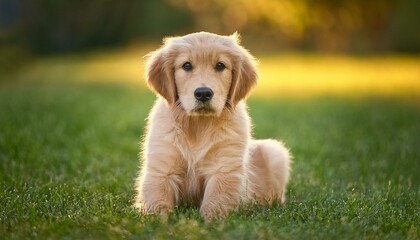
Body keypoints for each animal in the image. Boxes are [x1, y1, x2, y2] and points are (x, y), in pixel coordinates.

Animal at [133, 31, 290, 221]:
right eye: (186, 65)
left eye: (220, 66)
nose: (203, 93)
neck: (198, 125)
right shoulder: (161, 169)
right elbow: (157, 201)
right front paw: (157, 222)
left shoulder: (224, 170)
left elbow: (216, 202)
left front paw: (208, 222)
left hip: (275, 151)